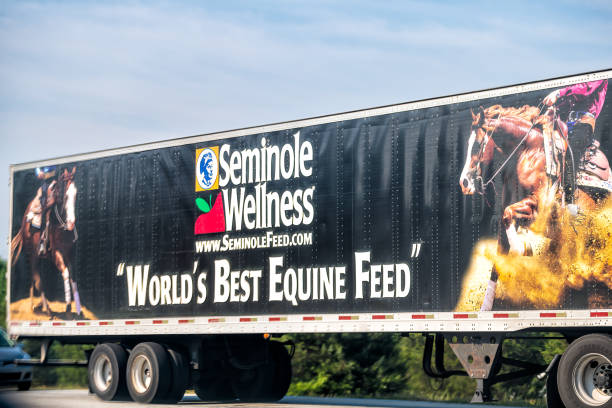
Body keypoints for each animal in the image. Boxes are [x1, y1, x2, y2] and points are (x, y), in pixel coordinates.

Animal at [10, 167, 81, 318]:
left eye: (76, 194)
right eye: (65, 196)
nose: (71, 223)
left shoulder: (70, 254)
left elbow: (73, 277)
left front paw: (78, 309)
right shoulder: (56, 254)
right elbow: (66, 273)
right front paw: (68, 306)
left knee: (35, 278)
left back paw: (36, 305)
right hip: (33, 255)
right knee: (37, 279)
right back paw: (46, 309)